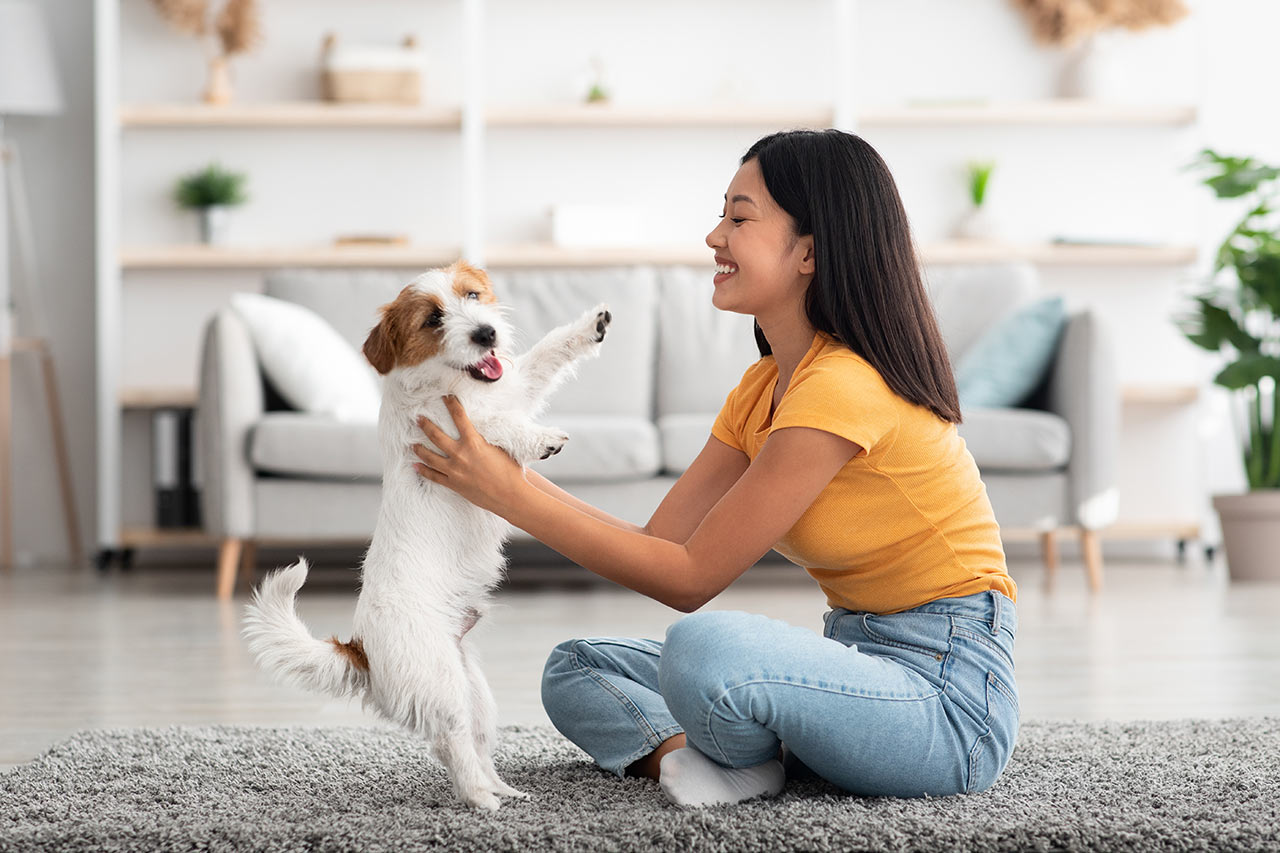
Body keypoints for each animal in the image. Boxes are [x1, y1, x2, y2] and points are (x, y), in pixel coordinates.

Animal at [245, 262, 614, 809]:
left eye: (472, 296)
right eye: (433, 319)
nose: (485, 334)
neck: (455, 384)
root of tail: (361, 649)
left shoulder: (513, 386)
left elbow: (543, 357)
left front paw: (590, 326)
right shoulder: (455, 432)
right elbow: (492, 426)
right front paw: (538, 438)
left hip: (474, 691)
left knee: (468, 748)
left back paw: (506, 790)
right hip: (443, 686)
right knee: (454, 749)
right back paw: (483, 803)